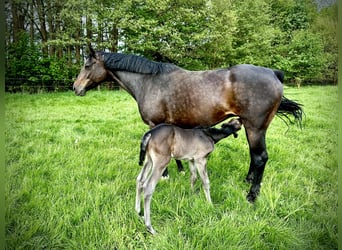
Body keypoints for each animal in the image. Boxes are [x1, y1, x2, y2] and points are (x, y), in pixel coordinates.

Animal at [73, 46, 302, 203]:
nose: (75, 87)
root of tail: (273, 73)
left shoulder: (155, 125)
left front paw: (165, 175)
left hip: (255, 127)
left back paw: (252, 195)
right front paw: (181, 170)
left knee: (260, 157)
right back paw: (247, 181)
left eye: (87, 65)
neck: (149, 82)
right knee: (255, 157)